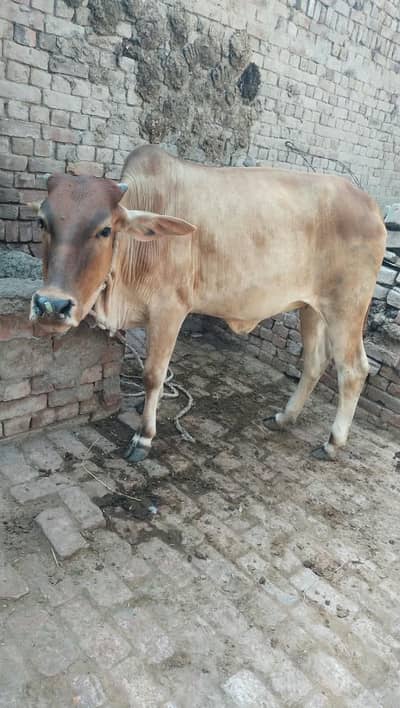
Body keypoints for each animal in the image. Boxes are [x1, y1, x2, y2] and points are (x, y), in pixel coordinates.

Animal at [29, 145, 386, 462]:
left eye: (105, 230)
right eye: (42, 222)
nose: (51, 306)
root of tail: (370, 205)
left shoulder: (169, 311)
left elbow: (153, 374)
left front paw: (144, 436)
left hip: (347, 308)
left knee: (353, 370)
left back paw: (333, 443)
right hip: (310, 307)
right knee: (314, 361)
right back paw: (285, 417)